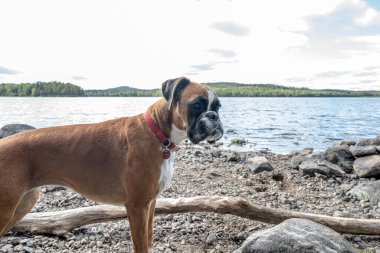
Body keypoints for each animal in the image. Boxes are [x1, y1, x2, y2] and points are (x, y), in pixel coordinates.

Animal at [0, 77, 223, 253]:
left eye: (218, 107)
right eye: (197, 104)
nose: (214, 116)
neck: (159, 134)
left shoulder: (150, 203)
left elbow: (149, 238)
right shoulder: (137, 206)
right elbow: (141, 245)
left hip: (23, 204)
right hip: (6, 210)